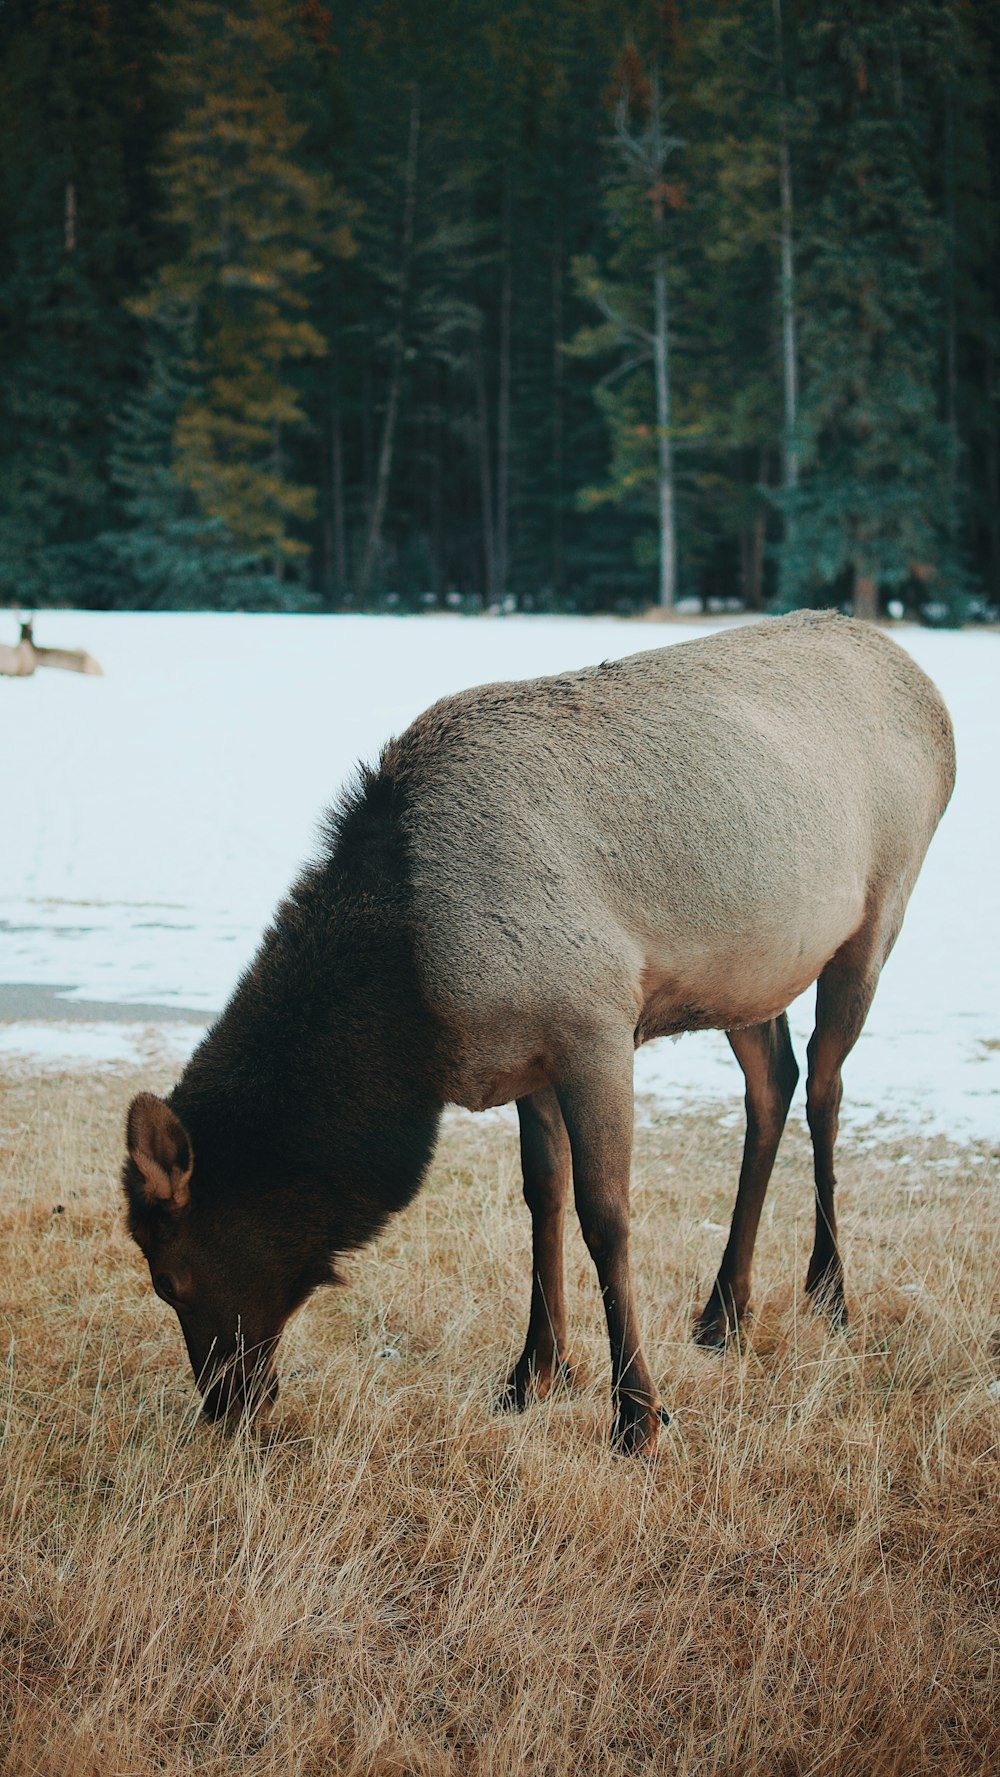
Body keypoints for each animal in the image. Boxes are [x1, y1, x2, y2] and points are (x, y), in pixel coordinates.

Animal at [123, 618, 952, 1450]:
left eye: (170, 1278)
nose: (226, 1405)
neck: (417, 999)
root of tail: (927, 690)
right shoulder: (527, 1057)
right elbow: (542, 1197)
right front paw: (535, 1370)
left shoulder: (596, 1025)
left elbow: (606, 1218)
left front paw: (637, 1412)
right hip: (748, 974)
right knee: (772, 1084)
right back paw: (724, 1310)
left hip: (878, 914)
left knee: (825, 1085)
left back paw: (829, 1292)